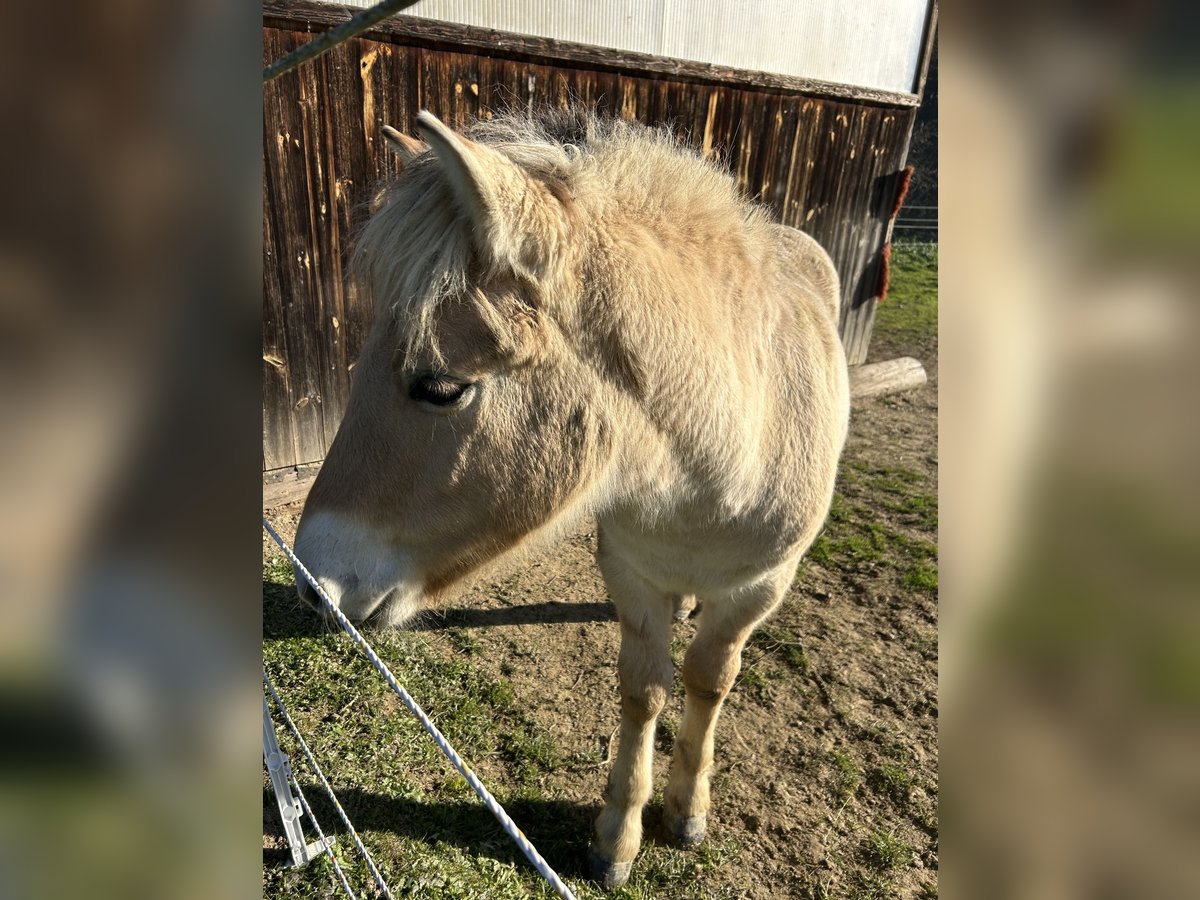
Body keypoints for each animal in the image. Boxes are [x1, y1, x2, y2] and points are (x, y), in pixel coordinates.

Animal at [294, 107, 849, 888]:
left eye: (441, 387)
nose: (309, 579)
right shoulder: (630, 573)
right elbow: (645, 691)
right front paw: (619, 837)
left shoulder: (762, 587)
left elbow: (709, 680)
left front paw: (687, 811)